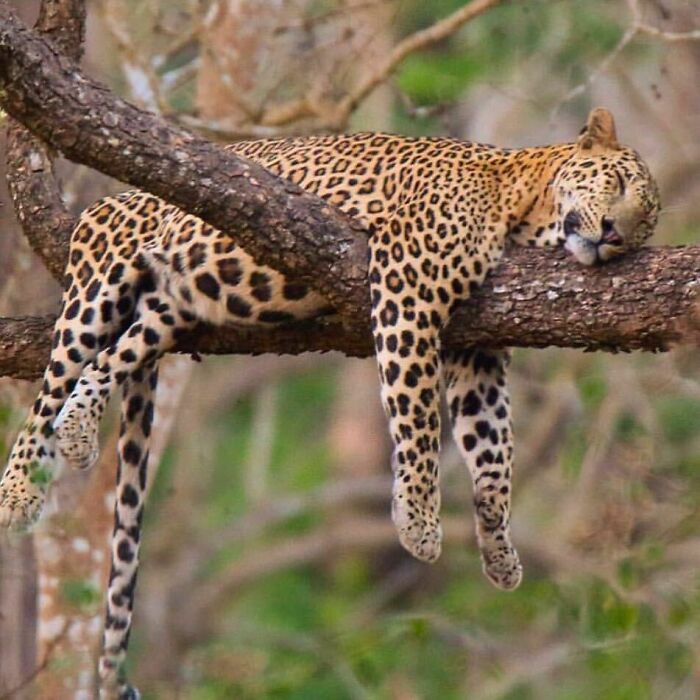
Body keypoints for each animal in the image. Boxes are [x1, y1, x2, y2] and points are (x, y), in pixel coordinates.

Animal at [0, 107, 659, 699]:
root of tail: (109, 202)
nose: (614, 236)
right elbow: (416, 414)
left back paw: (81, 428)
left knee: (113, 358)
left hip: (172, 306)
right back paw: (19, 493)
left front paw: (499, 552)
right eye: (621, 184)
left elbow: (493, 454)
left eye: (644, 228)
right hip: (99, 280)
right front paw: (417, 520)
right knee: (51, 385)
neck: (521, 202)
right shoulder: (407, 289)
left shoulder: (478, 355)